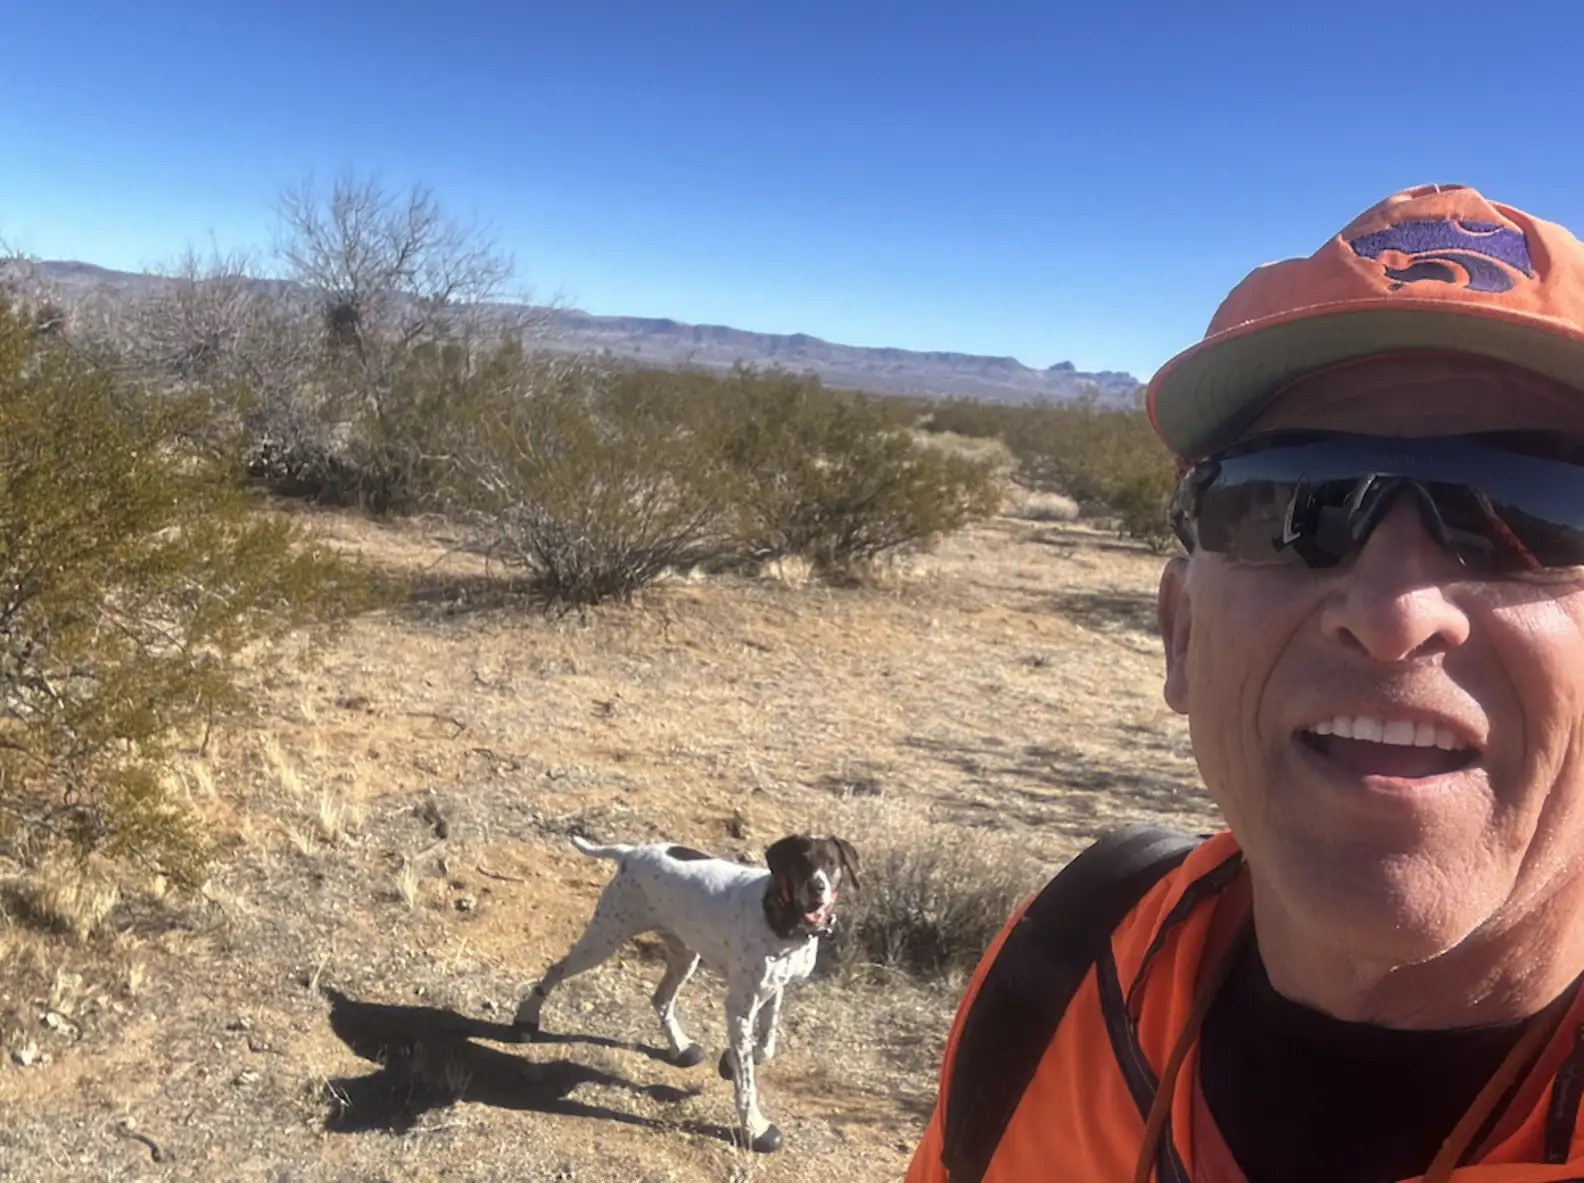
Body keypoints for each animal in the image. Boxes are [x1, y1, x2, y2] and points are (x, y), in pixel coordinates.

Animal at [510, 829, 861, 1152]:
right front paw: (755, 1128)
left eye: (831, 863)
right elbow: (747, 1083)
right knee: (556, 970)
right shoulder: (740, 1006)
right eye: (801, 862)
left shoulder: (774, 989)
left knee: (661, 998)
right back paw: (527, 1017)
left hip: (684, 955)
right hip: (604, 939)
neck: (784, 919)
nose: (817, 887)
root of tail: (631, 853)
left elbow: (765, 1044)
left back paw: (680, 1047)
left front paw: (731, 1061)